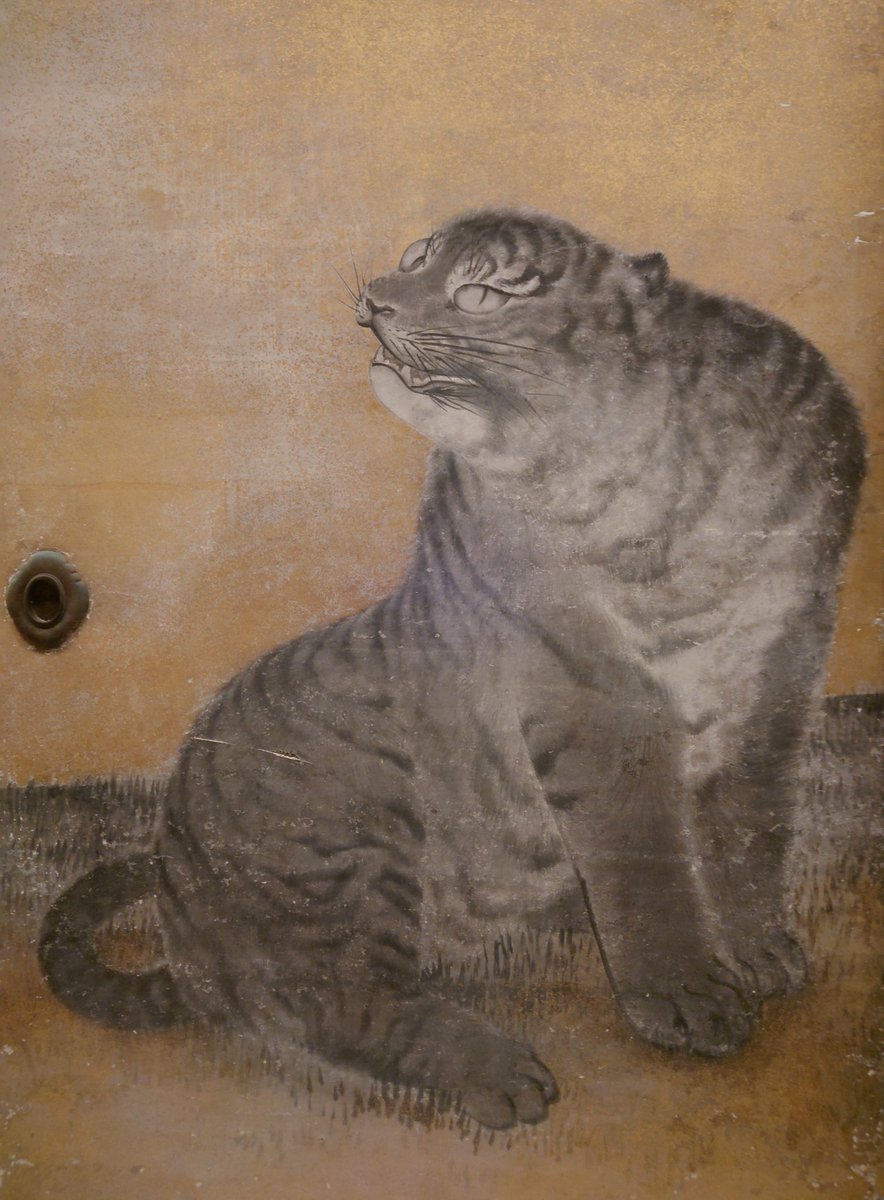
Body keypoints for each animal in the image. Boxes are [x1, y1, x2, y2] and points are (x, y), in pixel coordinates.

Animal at [39, 208, 866, 1130]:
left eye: (481, 293)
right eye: (413, 260)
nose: (373, 300)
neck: (659, 492)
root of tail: (181, 913)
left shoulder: (786, 656)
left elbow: (753, 825)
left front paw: (759, 949)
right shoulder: (593, 693)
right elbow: (641, 862)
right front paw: (687, 999)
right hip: (356, 822)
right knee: (342, 1001)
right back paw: (503, 1073)